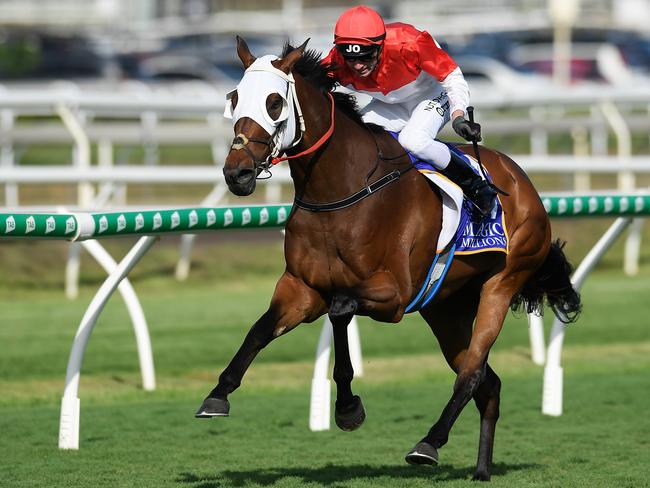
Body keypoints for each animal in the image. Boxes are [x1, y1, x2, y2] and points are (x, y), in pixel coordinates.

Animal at [195, 37, 580, 480]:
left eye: (274, 102)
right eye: (234, 98)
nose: (236, 174)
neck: (341, 191)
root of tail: (522, 180)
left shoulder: (393, 295)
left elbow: (340, 309)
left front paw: (347, 407)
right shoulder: (301, 288)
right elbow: (260, 330)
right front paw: (218, 394)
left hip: (501, 283)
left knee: (471, 374)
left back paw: (429, 444)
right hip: (445, 307)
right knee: (489, 383)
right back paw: (481, 469)